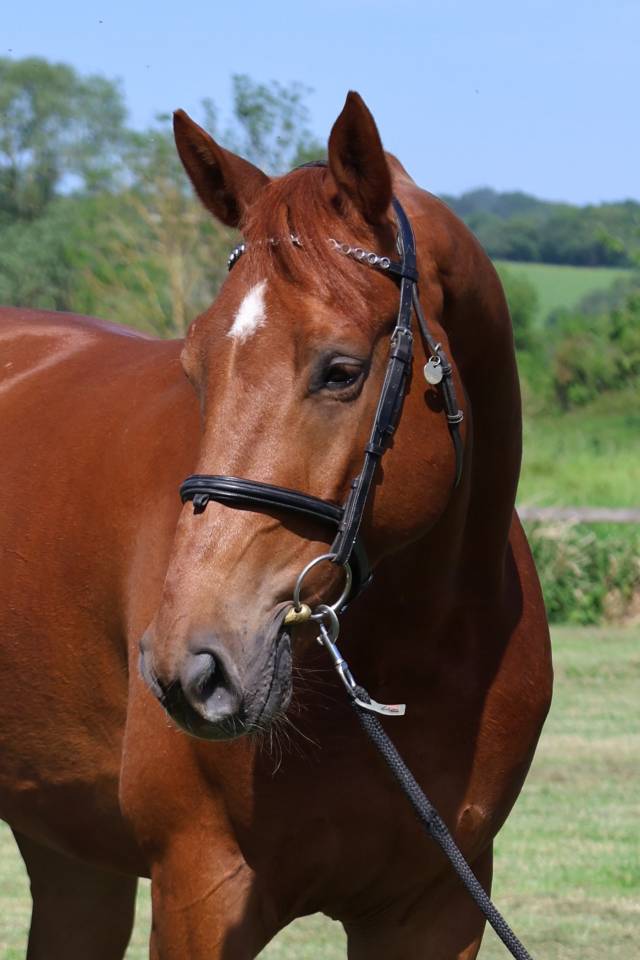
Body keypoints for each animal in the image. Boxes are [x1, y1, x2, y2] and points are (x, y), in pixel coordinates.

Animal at [0, 91, 552, 959]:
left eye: (342, 371)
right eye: (194, 366)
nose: (191, 666)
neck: (416, 656)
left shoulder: (437, 909)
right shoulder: (202, 892)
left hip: (68, 848)